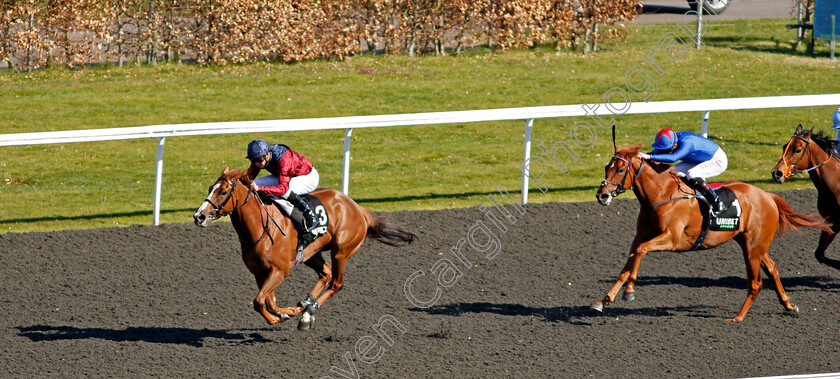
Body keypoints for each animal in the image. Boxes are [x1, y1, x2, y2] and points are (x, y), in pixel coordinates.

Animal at [190, 168, 414, 332]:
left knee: (336, 283)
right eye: (210, 188)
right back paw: (305, 306)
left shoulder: (280, 270)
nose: (199, 216)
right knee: (326, 273)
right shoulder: (260, 272)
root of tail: (357, 207)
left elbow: (259, 301)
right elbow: (267, 301)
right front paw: (285, 313)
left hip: (341, 251)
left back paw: (307, 313)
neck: (260, 229)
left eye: (223, 192)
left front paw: (284, 315)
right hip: (311, 254)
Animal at [592, 144, 832, 322]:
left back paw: (738, 317)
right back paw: (789, 306)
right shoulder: (640, 236)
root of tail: (768, 196)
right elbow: (627, 266)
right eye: (605, 167)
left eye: (620, 170)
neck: (661, 194)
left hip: (753, 247)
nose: (602, 195)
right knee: (772, 269)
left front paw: (629, 292)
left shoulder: (672, 239)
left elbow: (641, 253)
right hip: (751, 243)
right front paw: (604, 300)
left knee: (756, 283)